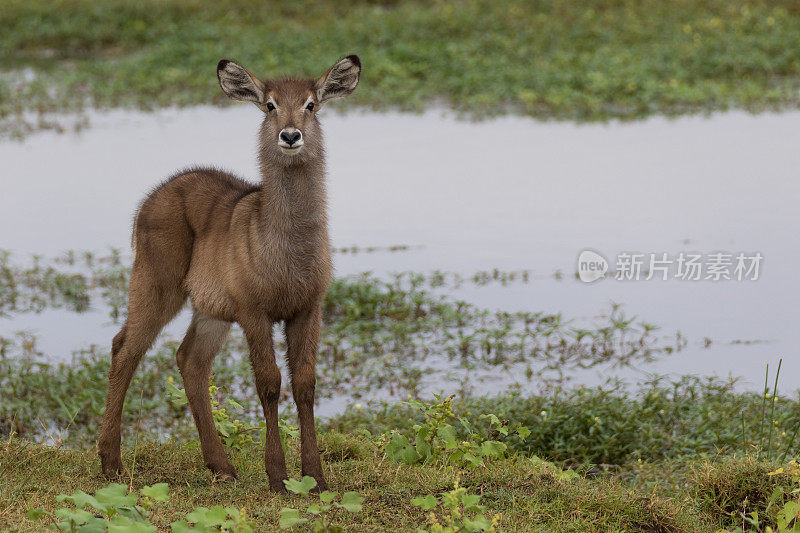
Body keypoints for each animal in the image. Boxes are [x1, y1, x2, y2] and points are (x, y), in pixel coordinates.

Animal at [97, 54, 362, 490]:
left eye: (311, 105)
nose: (290, 135)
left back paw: (222, 466)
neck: (288, 250)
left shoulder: (309, 308)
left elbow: (305, 384)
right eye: (270, 105)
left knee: (189, 359)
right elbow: (269, 383)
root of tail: (153, 196)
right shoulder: (254, 311)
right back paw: (110, 463)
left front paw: (316, 478)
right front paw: (278, 477)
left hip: (211, 311)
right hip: (157, 284)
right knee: (125, 348)